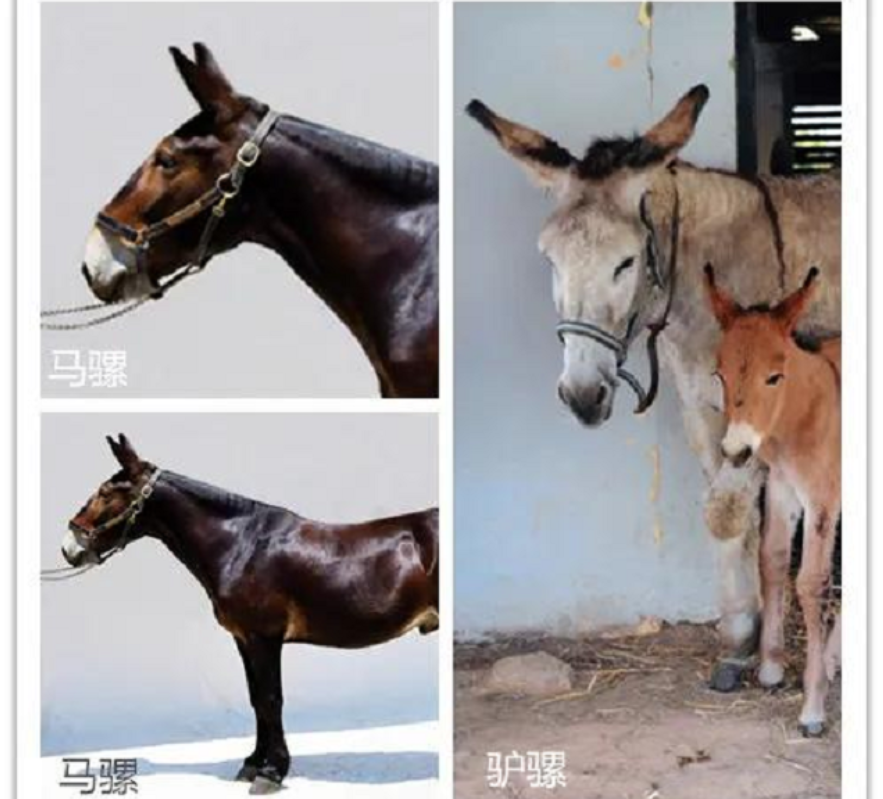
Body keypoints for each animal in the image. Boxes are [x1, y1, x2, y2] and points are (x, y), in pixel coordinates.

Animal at [61, 434, 439, 794]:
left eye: (106, 492)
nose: (69, 547)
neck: (242, 545)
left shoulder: (264, 637)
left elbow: (271, 700)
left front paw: (271, 773)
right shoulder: (244, 638)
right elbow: (256, 698)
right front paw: (253, 764)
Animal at [705, 265, 841, 736]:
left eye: (774, 376)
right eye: (720, 374)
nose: (735, 451)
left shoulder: (822, 499)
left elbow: (812, 583)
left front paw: (813, 707)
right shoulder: (782, 488)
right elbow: (772, 560)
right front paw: (771, 670)